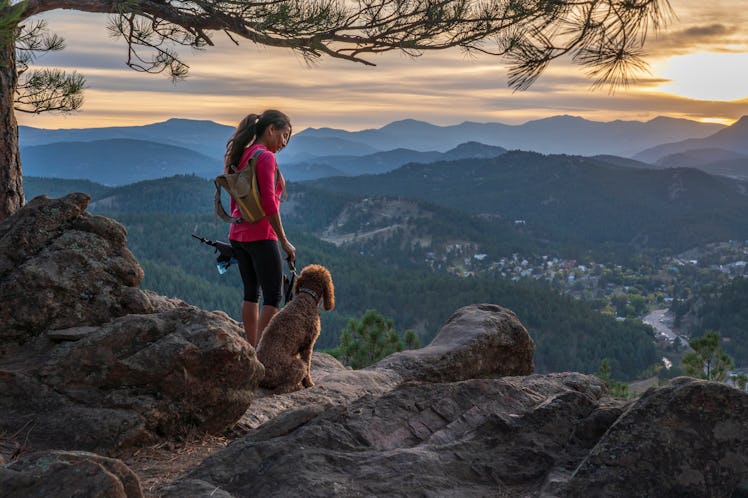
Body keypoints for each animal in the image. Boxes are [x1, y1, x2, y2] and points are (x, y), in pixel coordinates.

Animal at [258, 264, 336, 392]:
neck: (307, 297)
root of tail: (263, 376)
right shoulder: (308, 345)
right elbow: (308, 366)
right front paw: (309, 383)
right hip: (297, 366)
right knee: (283, 387)